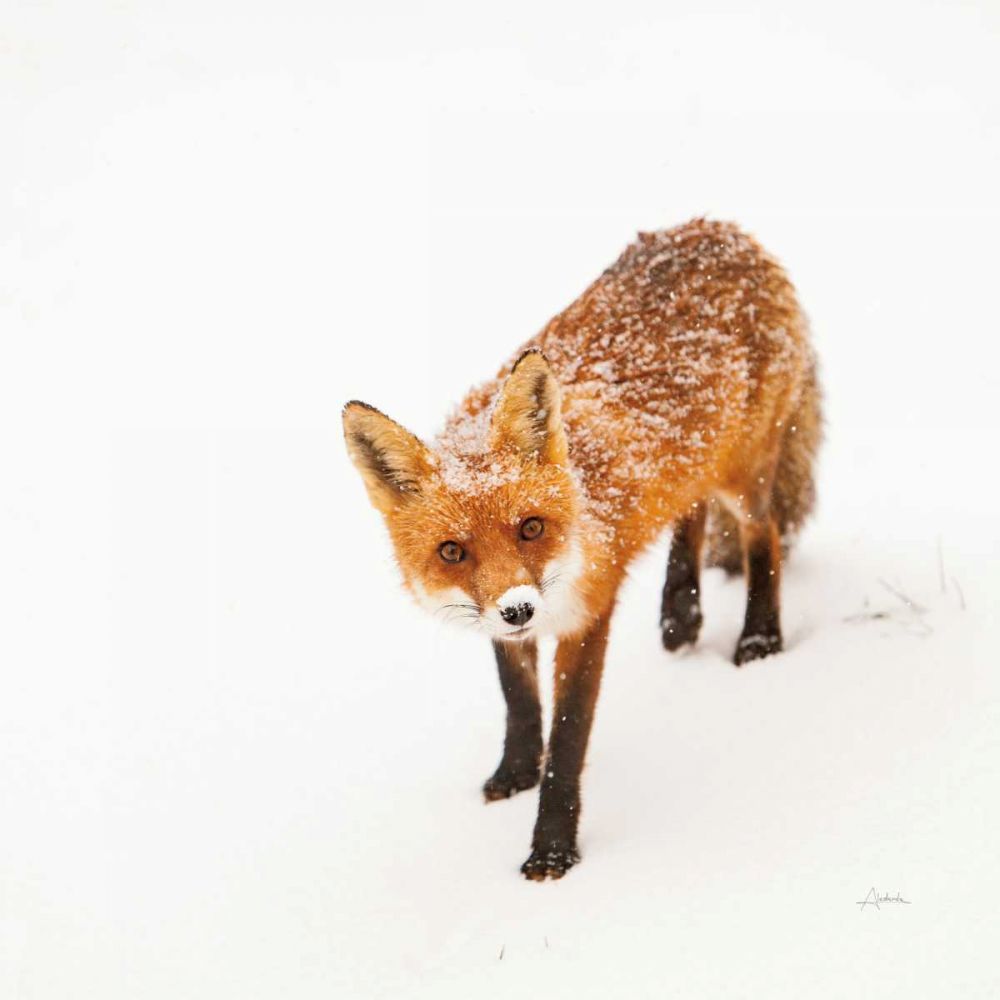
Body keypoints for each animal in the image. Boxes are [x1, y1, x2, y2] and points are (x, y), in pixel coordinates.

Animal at [343, 218, 821, 880]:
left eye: (531, 528)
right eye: (452, 552)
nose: (519, 609)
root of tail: (720, 228)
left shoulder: (589, 612)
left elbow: (568, 740)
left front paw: (552, 849)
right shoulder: (502, 624)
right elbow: (519, 701)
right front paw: (515, 772)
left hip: (745, 475)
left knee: (763, 536)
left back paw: (759, 639)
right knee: (690, 510)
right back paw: (680, 614)